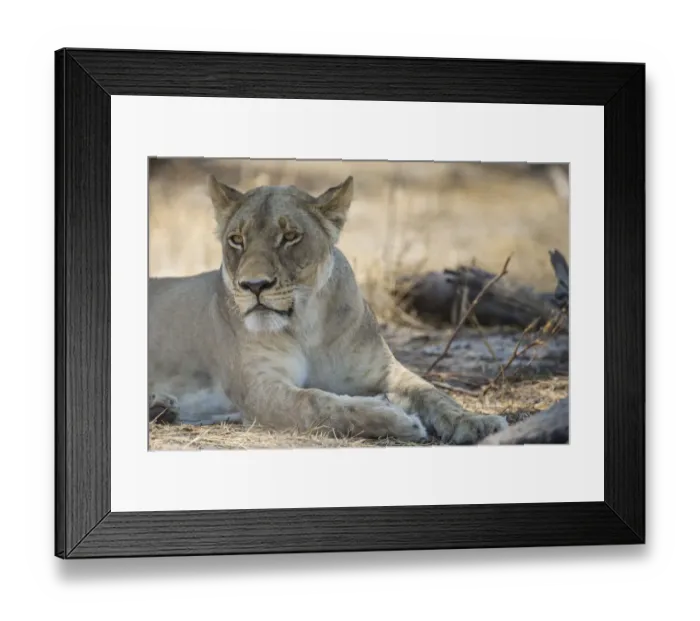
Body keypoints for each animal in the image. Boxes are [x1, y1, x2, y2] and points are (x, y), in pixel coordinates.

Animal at [147, 174, 508, 444]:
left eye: (290, 236)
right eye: (236, 239)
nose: (254, 285)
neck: (307, 325)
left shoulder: (384, 370)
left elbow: (433, 393)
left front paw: (478, 422)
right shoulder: (259, 389)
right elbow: (316, 402)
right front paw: (395, 419)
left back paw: (162, 407)